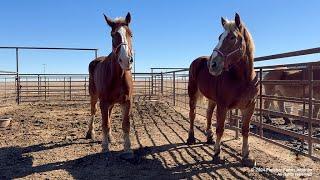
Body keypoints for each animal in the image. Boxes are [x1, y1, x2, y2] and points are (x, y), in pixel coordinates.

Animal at [85, 12, 134, 159]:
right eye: (113, 35)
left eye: (131, 34)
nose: (126, 60)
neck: (117, 76)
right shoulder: (104, 102)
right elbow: (104, 124)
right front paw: (105, 147)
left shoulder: (127, 101)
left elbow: (126, 125)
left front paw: (128, 149)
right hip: (94, 96)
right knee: (93, 111)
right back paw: (90, 133)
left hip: (111, 102)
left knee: (110, 114)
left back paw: (111, 137)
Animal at [186, 13, 258, 167]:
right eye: (219, 37)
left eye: (232, 37)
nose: (212, 64)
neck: (244, 79)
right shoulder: (223, 105)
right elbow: (220, 128)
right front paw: (217, 154)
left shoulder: (249, 106)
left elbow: (245, 130)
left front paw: (246, 156)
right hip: (192, 93)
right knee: (192, 114)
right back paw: (191, 138)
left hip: (212, 99)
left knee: (208, 114)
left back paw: (209, 137)